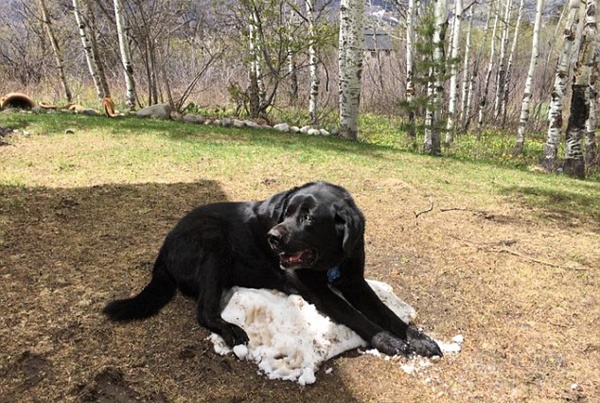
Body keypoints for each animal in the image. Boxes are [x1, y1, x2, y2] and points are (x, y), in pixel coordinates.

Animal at [102, 182, 440, 356]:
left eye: (308, 218)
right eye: (287, 212)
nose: (273, 237)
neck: (330, 260)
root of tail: (164, 247)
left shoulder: (354, 280)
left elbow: (385, 312)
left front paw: (418, 338)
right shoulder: (315, 289)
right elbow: (356, 316)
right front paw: (388, 341)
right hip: (213, 242)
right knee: (203, 312)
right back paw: (231, 330)